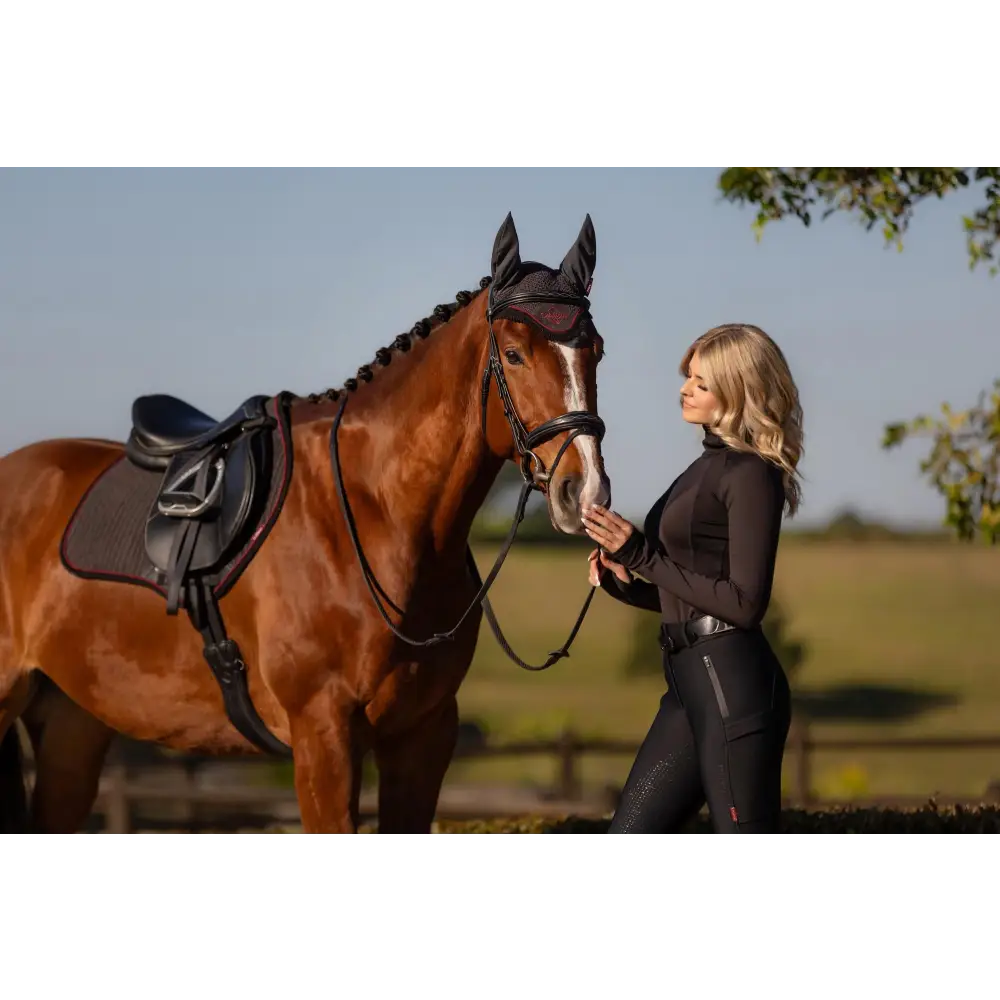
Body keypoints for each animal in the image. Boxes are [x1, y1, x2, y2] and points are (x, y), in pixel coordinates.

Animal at [0, 211, 608, 836]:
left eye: (597, 352)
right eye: (513, 354)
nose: (582, 490)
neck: (378, 518)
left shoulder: (424, 736)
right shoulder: (324, 738)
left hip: (72, 725)